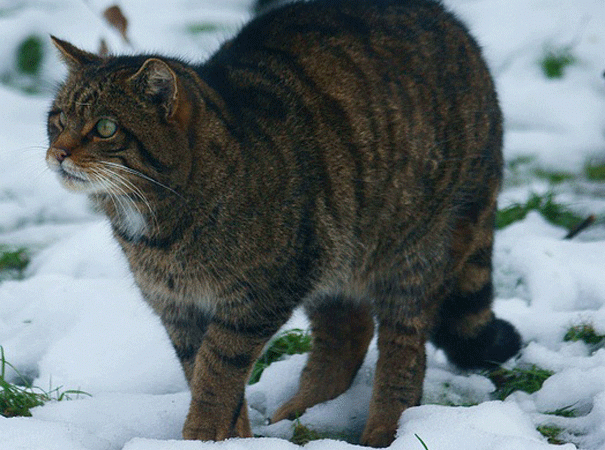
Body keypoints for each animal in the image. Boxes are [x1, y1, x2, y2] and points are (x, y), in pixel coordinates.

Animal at [46, 0, 520, 446]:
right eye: (59, 119)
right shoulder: (179, 310)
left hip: (413, 251)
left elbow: (216, 375)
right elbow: (204, 374)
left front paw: (201, 436)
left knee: (404, 349)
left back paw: (386, 431)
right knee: (348, 333)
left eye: (106, 127)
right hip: (336, 252)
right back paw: (304, 412)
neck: (158, 224)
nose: (58, 153)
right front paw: (233, 439)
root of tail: (456, 28)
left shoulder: (257, 297)